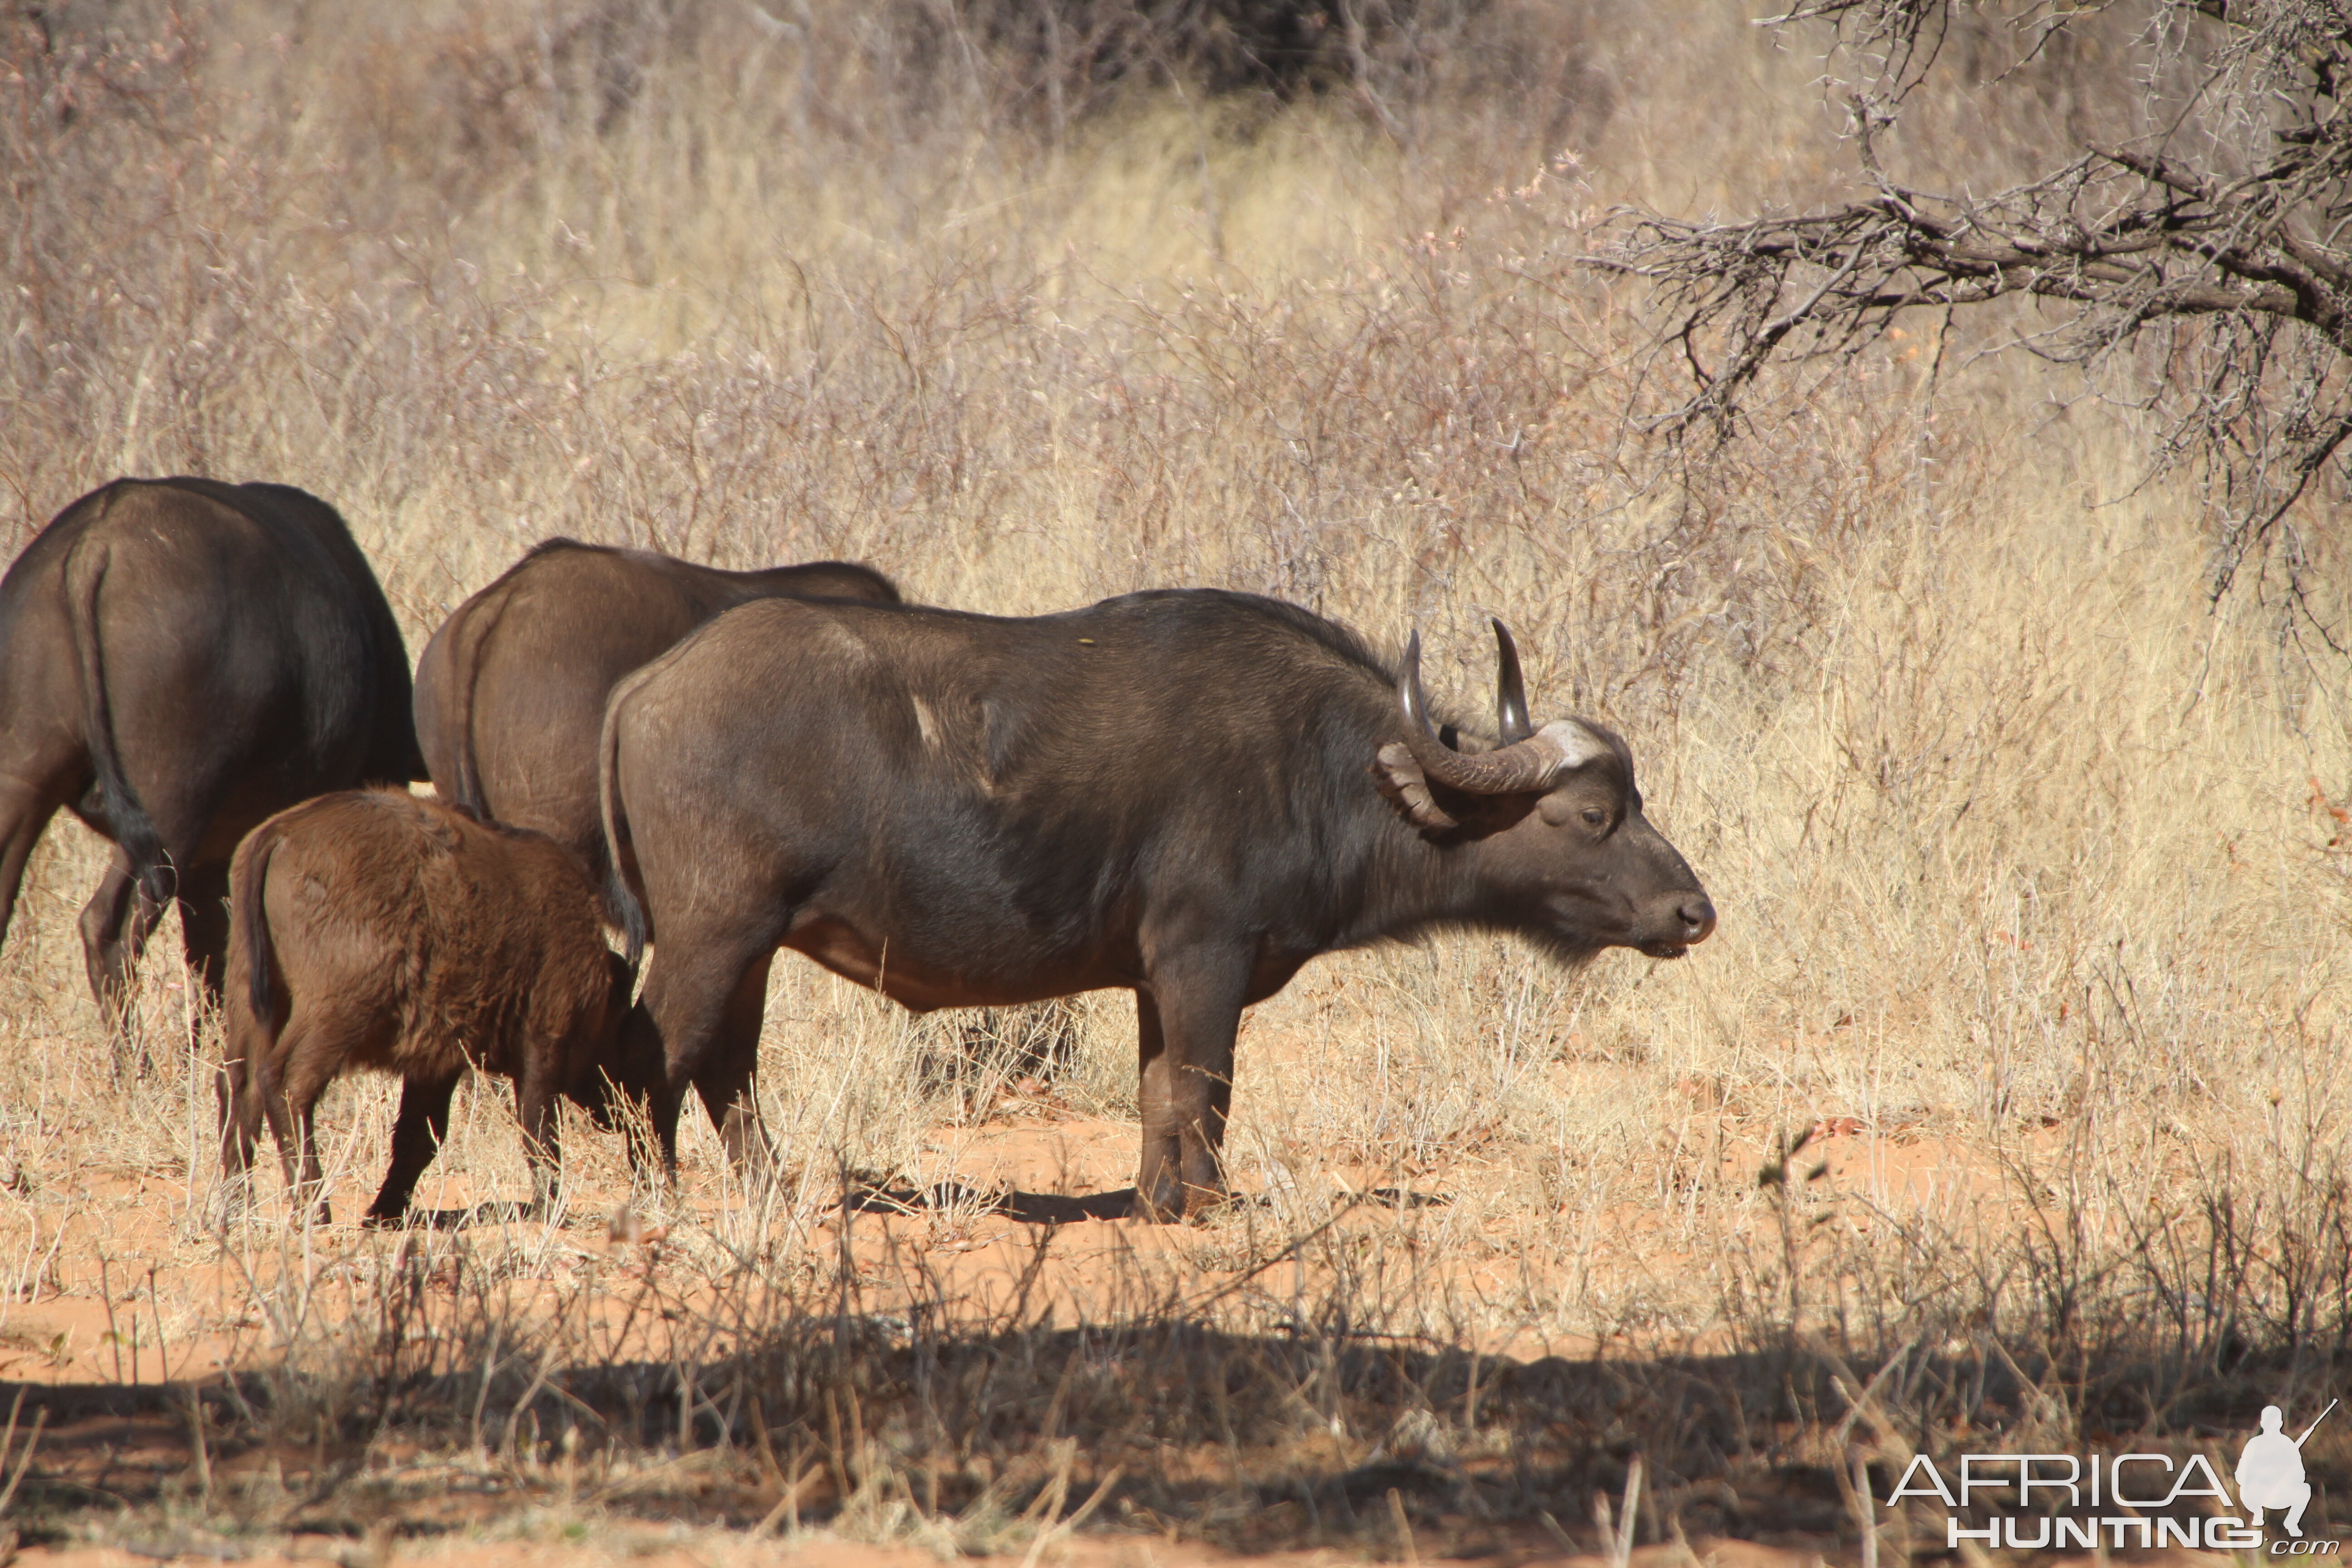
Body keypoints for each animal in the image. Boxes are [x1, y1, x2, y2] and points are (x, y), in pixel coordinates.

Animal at [0, 482, 428, 1020]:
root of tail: (99, 541)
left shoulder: (212, 867)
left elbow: (212, 968)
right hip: (172, 810)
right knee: (110, 931)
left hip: (24, 780)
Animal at [221, 789, 635, 1222]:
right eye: (620, 1028)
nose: (618, 1109)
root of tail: (281, 832)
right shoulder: (544, 1043)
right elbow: (540, 1134)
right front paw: (549, 1208)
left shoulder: (435, 1066)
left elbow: (418, 1137)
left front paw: (385, 1212)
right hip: (337, 1014)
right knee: (287, 1082)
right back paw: (314, 1208)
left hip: (253, 1003)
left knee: (240, 1085)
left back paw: (234, 1209)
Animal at [597, 588, 1721, 1213]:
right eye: (1592, 813)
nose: (1692, 912)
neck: (1326, 769)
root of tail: (649, 684)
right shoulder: (1204, 962)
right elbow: (1207, 1090)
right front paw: (1209, 1207)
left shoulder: (1153, 981)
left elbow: (1158, 1097)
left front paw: (1155, 1201)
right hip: (712, 939)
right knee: (652, 1055)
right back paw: (658, 1196)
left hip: (751, 950)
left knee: (727, 1070)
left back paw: (770, 1193)